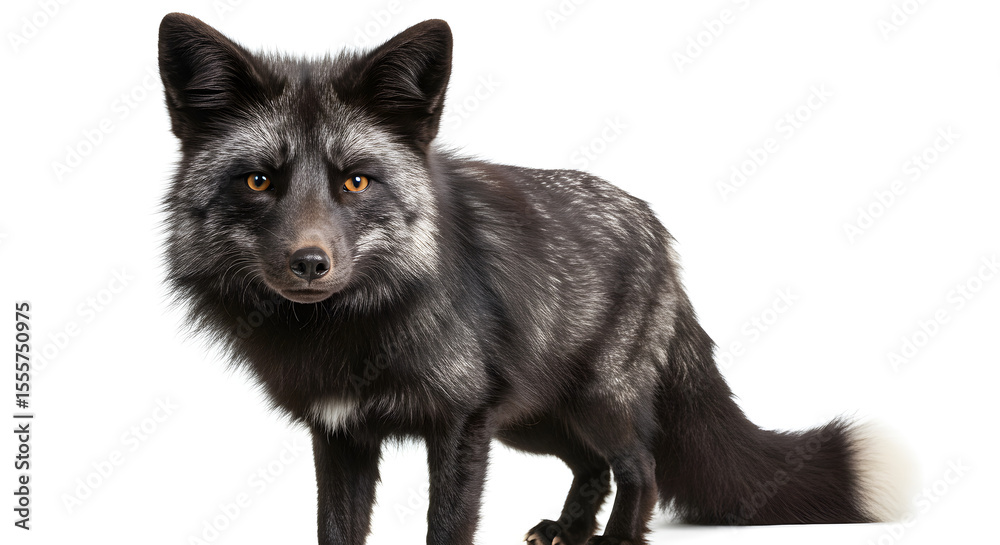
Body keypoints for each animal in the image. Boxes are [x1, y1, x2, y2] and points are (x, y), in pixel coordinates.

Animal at [158, 13, 911, 545]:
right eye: (259, 180)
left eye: (356, 181)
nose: (310, 263)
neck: (351, 326)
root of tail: (652, 225)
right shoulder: (340, 431)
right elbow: (334, 529)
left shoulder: (461, 421)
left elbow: (446, 528)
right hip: (535, 416)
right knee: (592, 466)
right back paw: (568, 531)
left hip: (594, 402)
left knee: (641, 465)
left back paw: (613, 541)